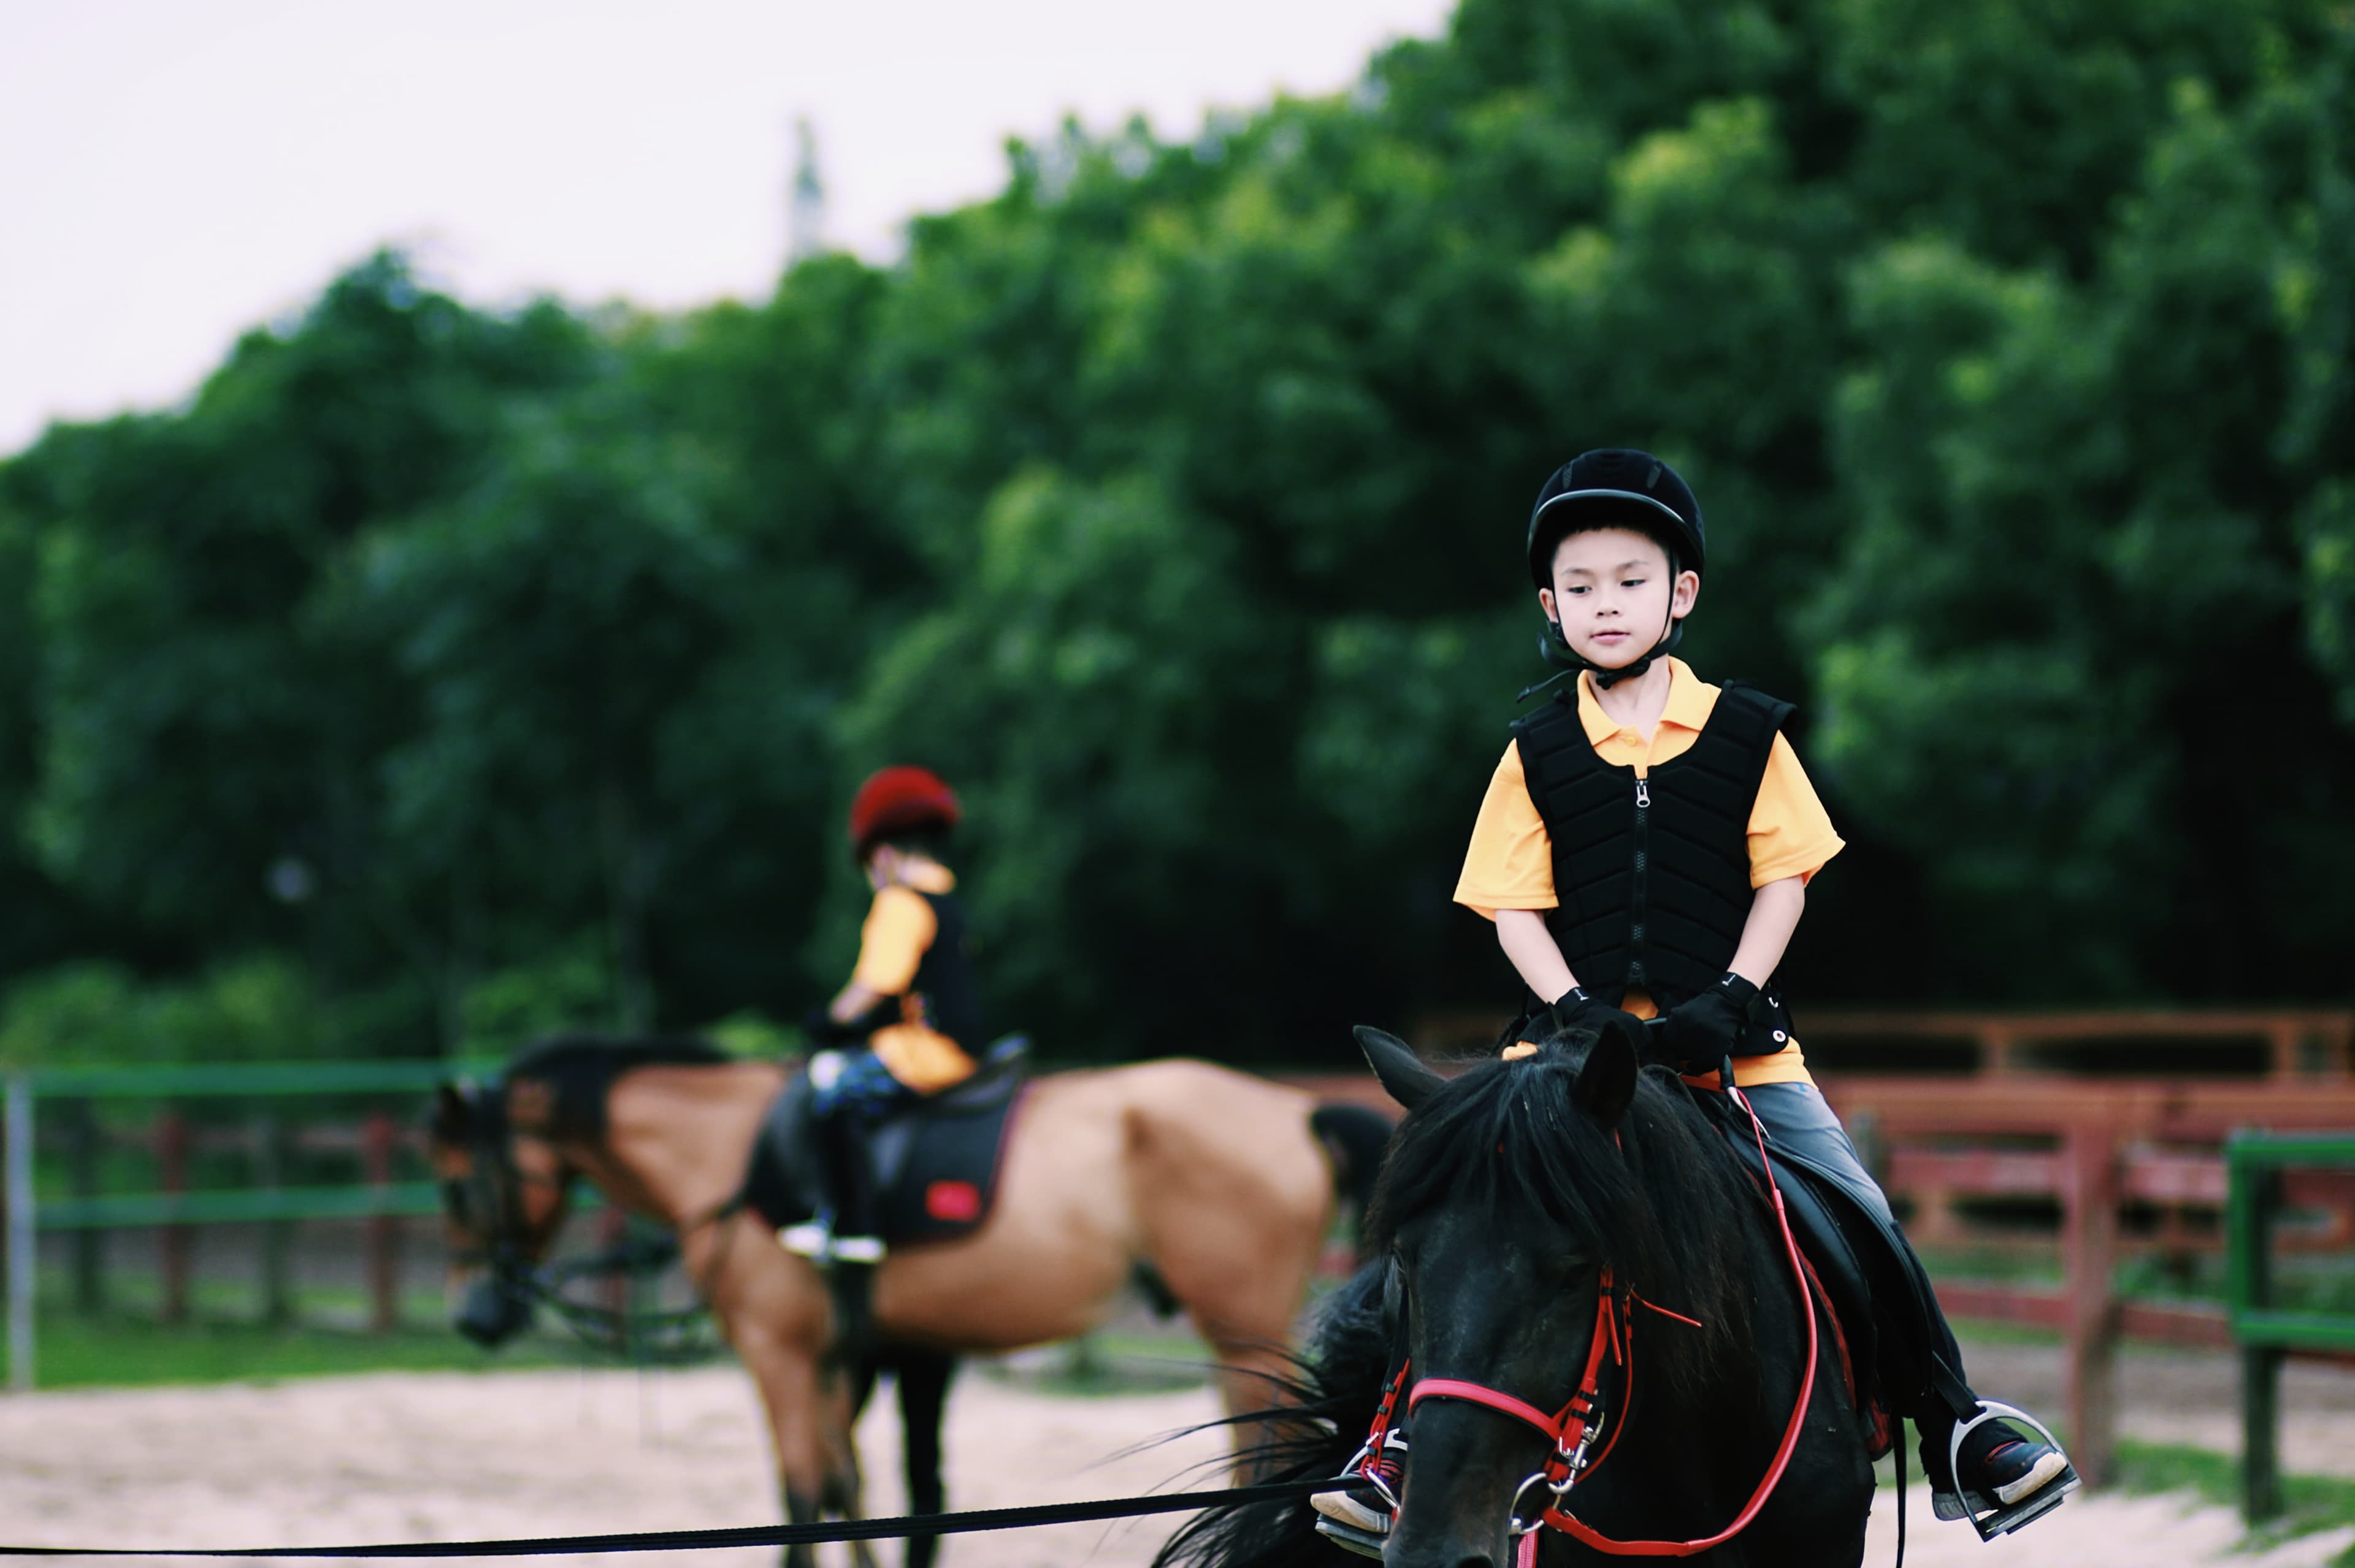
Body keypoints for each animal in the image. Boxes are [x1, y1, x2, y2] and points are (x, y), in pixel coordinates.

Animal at [429, 1033, 1394, 1568]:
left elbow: (802, 1489)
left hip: (1240, 1330)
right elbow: (853, 1486)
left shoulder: (777, 1348)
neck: (732, 1155)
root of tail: (1297, 1111)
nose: (473, 1317)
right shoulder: (845, 1355)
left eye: (455, 1185)